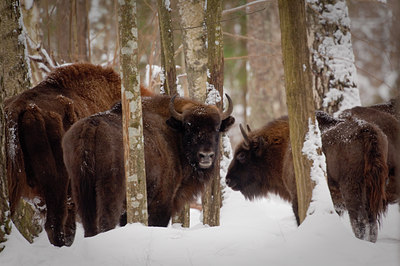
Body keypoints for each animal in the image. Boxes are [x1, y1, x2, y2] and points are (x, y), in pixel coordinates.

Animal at [61, 94, 234, 237]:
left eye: (216, 128)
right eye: (189, 127)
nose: (206, 155)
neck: (173, 133)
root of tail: (92, 126)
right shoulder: (162, 202)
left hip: (81, 190)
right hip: (110, 191)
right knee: (106, 221)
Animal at [225, 109, 390, 242]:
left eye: (241, 155)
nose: (227, 180)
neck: (282, 149)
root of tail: (366, 130)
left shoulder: (296, 197)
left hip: (351, 190)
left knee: (360, 221)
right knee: (372, 223)